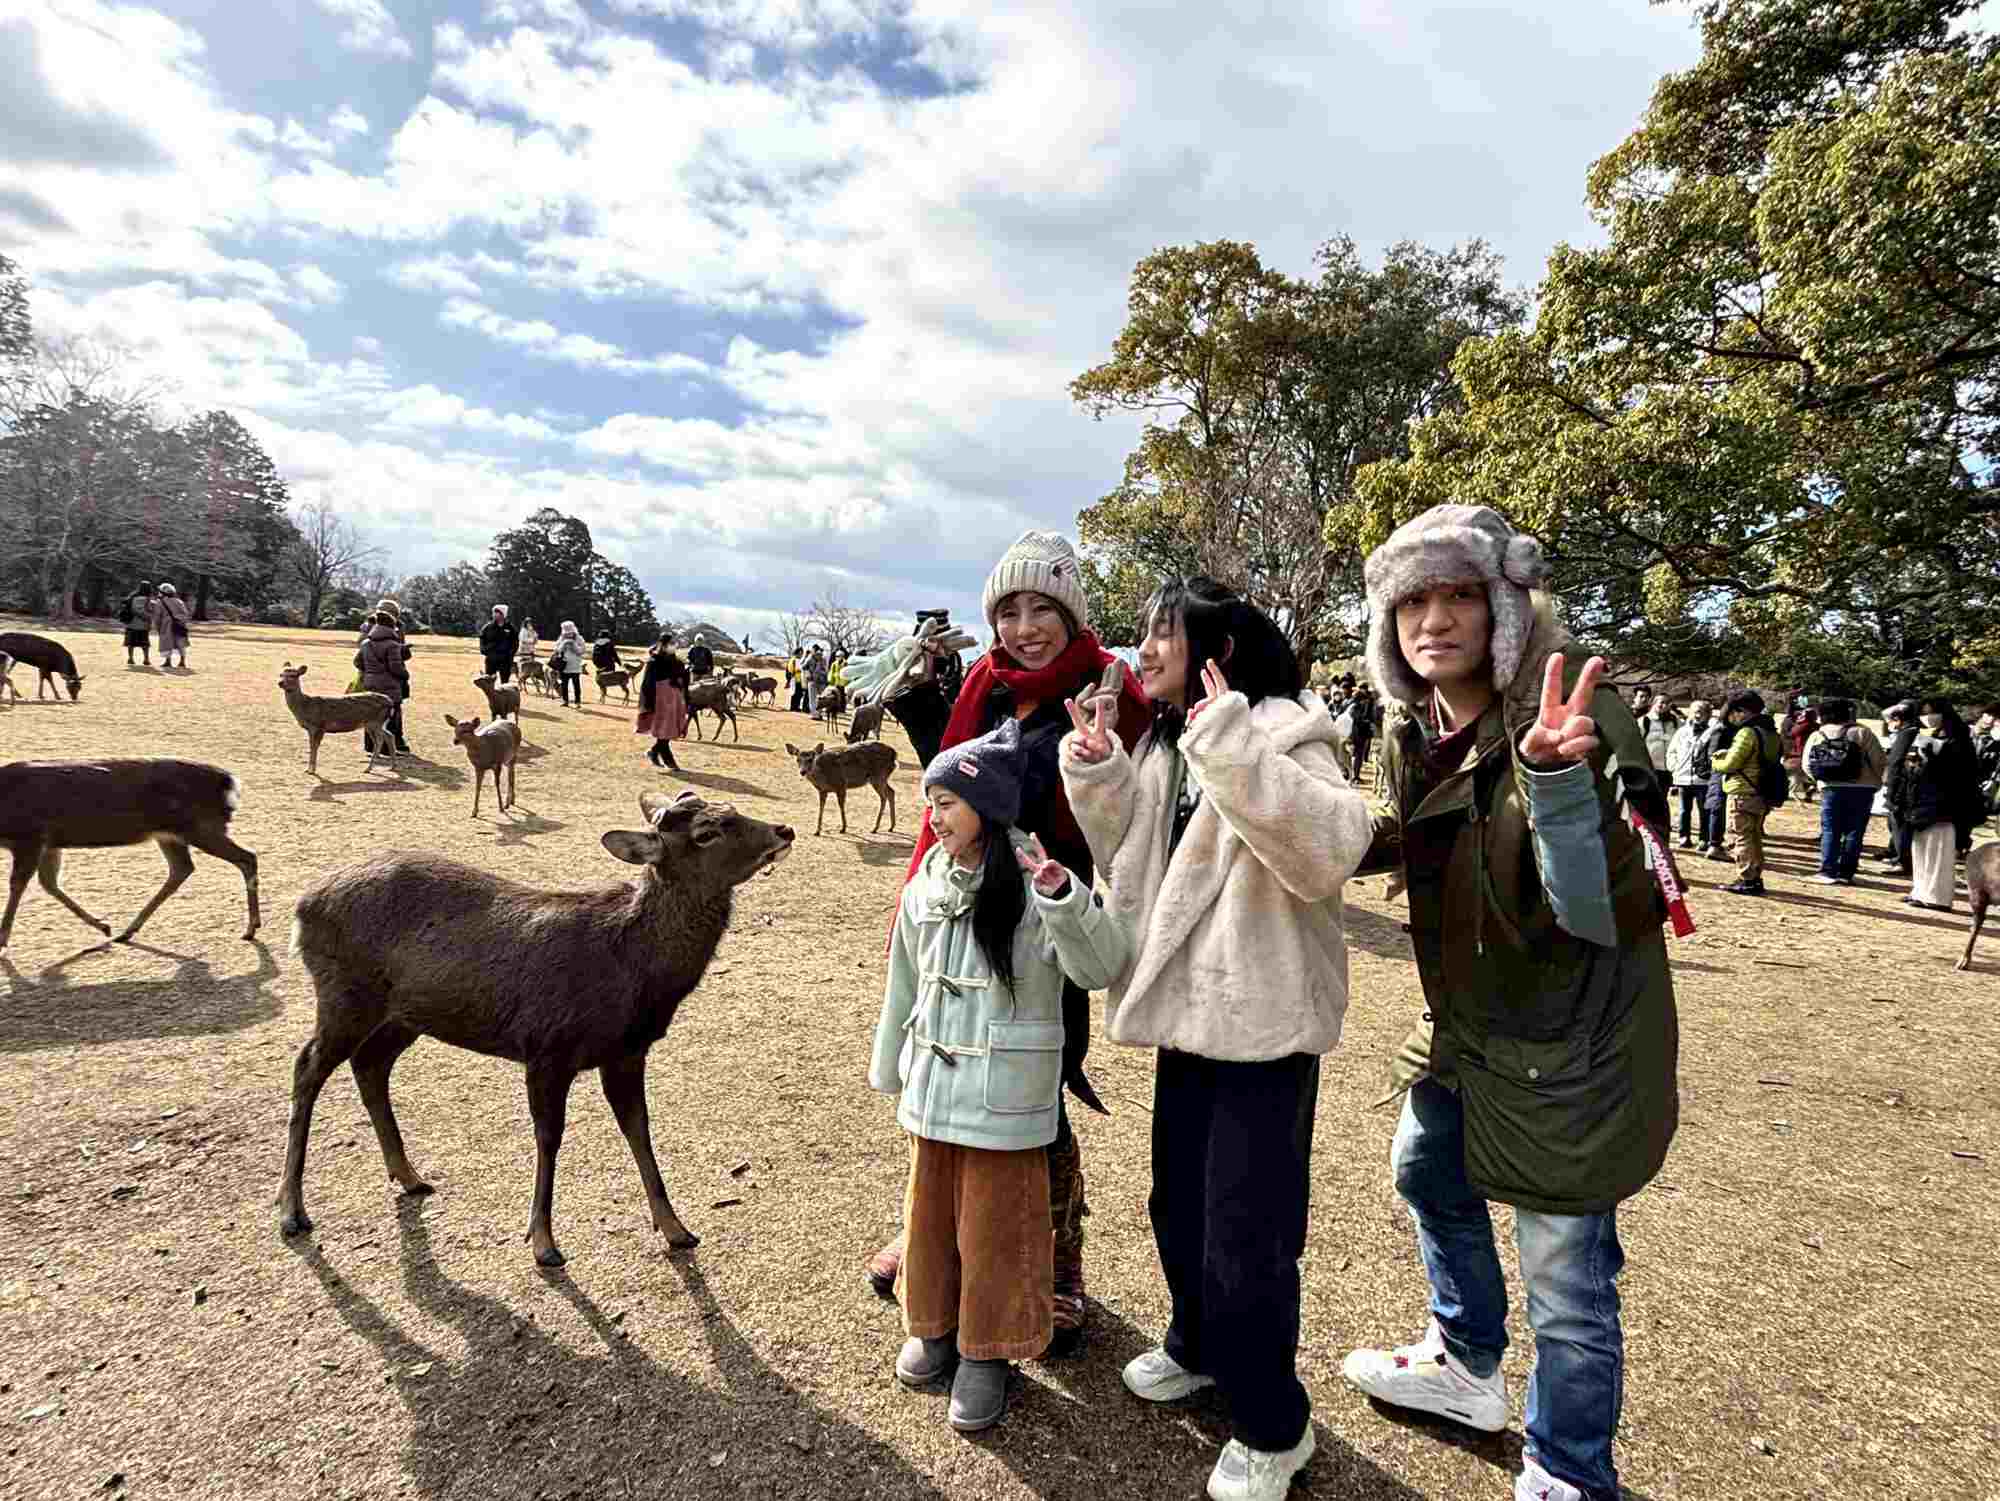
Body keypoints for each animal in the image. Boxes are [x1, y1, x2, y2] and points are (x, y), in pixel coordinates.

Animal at [0, 759, 260, 951]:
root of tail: (230, 782)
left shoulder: (30, 837)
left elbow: (18, 885)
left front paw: (2, 940)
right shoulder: (50, 843)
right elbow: (49, 884)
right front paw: (103, 926)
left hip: (200, 827)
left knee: (247, 857)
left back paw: (250, 928)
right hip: (172, 834)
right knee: (183, 868)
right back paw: (127, 931)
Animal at [279, 791, 795, 1266]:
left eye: (735, 809)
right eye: (707, 833)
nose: (784, 830)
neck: (633, 973)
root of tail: (303, 905)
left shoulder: (628, 1051)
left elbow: (639, 1129)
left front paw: (675, 1228)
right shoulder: (547, 1048)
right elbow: (550, 1138)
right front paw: (543, 1242)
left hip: (406, 1014)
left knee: (370, 1064)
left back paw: (409, 1177)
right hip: (345, 994)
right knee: (307, 1066)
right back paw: (291, 1211)